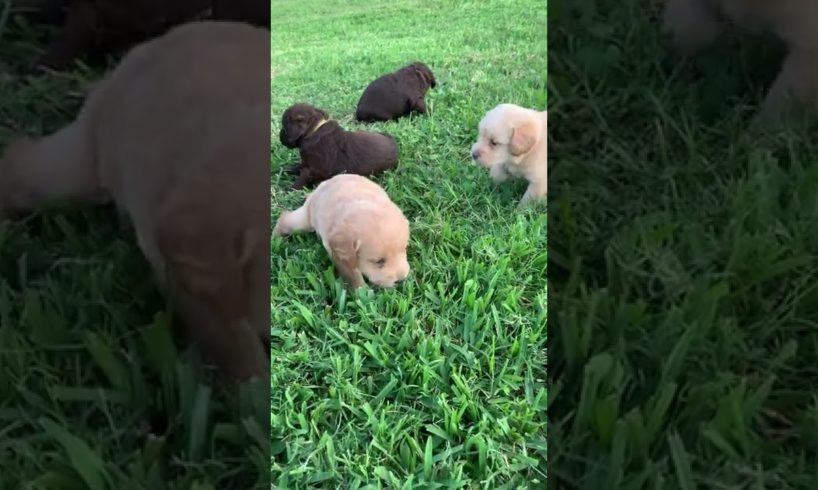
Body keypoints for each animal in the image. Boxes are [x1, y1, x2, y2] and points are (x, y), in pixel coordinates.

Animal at [274, 174, 412, 290]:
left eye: (404, 250)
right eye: (379, 262)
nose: (402, 280)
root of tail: (327, 181)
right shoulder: (341, 255)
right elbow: (352, 274)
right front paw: (362, 292)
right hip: (304, 220)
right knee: (284, 219)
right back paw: (275, 238)